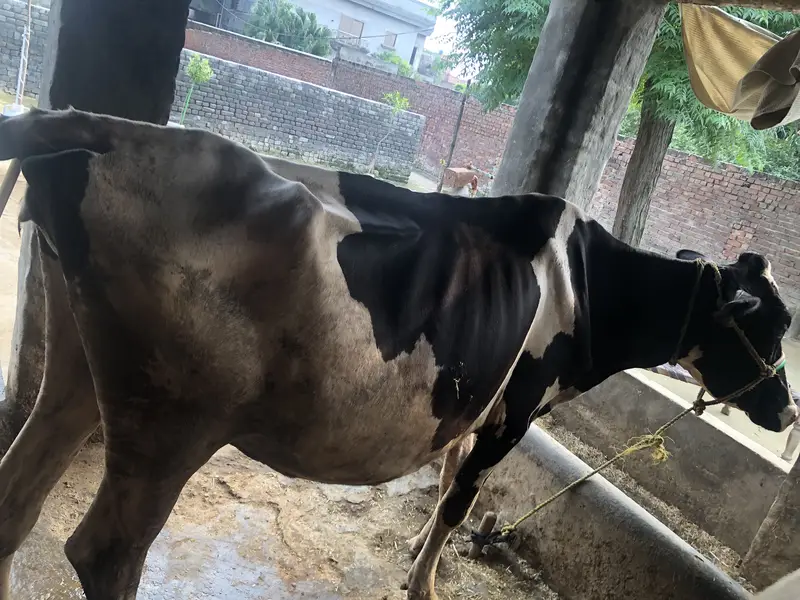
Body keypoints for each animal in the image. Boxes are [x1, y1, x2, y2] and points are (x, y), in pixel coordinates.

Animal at [0, 108, 796, 600]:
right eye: (776, 328)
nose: (787, 413)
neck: (590, 288)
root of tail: (109, 128)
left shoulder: (478, 399)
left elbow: (447, 482)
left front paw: (416, 546)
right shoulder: (515, 408)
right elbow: (460, 498)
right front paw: (423, 581)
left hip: (76, 366)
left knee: (17, 500)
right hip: (176, 415)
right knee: (104, 554)